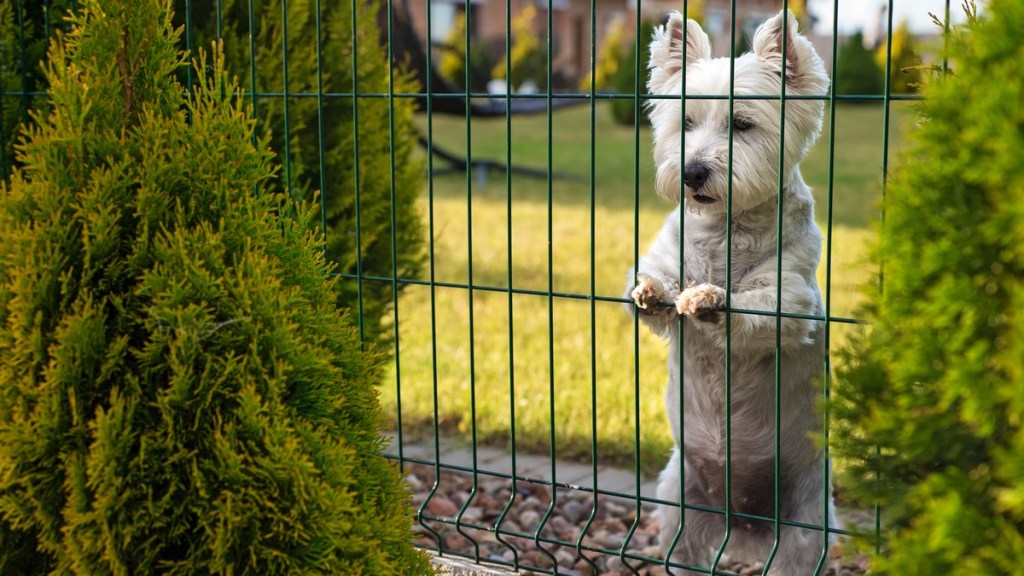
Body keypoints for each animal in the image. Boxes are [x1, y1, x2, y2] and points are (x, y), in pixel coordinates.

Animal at [626, 10, 835, 573]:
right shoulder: (666, 253)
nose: (692, 171)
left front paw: (710, 299)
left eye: (742, 124)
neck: (726, 229)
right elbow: (655, 287)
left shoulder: (792, 298)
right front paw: (653, 291)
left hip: (806, 523)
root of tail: (741, 523)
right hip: (678, 504)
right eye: (685, 123)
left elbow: (759, 308)